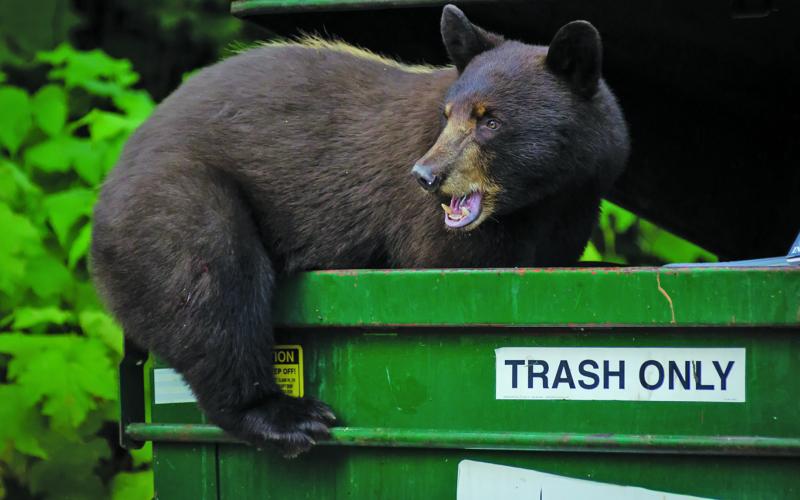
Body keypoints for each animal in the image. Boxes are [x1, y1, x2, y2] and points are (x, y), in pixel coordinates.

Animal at [91, 4, 629, 457]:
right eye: (447, 115)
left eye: (490, 120)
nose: (425, 175)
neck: (540, 200)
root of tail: (111, 179)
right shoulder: (432, 230)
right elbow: (449, 261)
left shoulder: (575, 207)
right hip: (174, 199)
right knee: (211, 284)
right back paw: (284, 417)